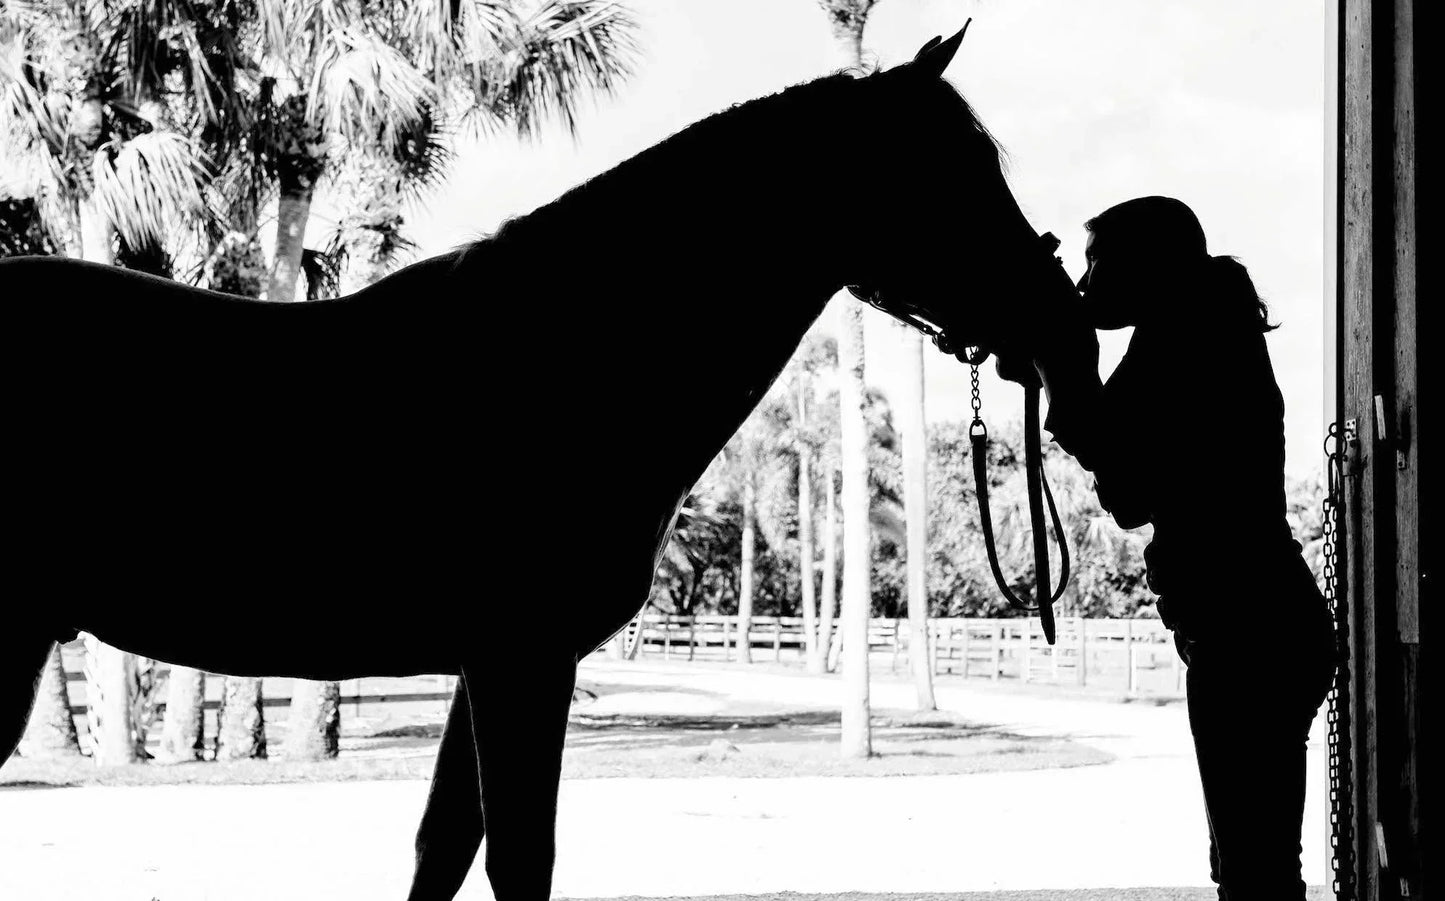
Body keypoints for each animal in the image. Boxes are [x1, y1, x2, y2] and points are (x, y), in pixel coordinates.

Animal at [0, 28, 1102, 901]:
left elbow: (444, 847)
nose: (1069, 333)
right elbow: (517, 858)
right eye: (950, 175)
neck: (558, 357)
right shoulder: (522, 659)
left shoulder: (489, 664)